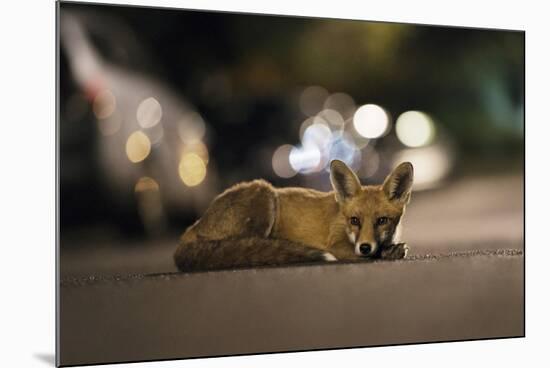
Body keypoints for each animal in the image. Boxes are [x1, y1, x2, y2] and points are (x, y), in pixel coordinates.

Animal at [174, 160, 414, 272]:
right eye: (354, 220)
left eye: (382, 221)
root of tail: (190, 230)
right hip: (264, 194)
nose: (364, 246)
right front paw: (386, 253)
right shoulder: (336, 244)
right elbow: (371, 255)